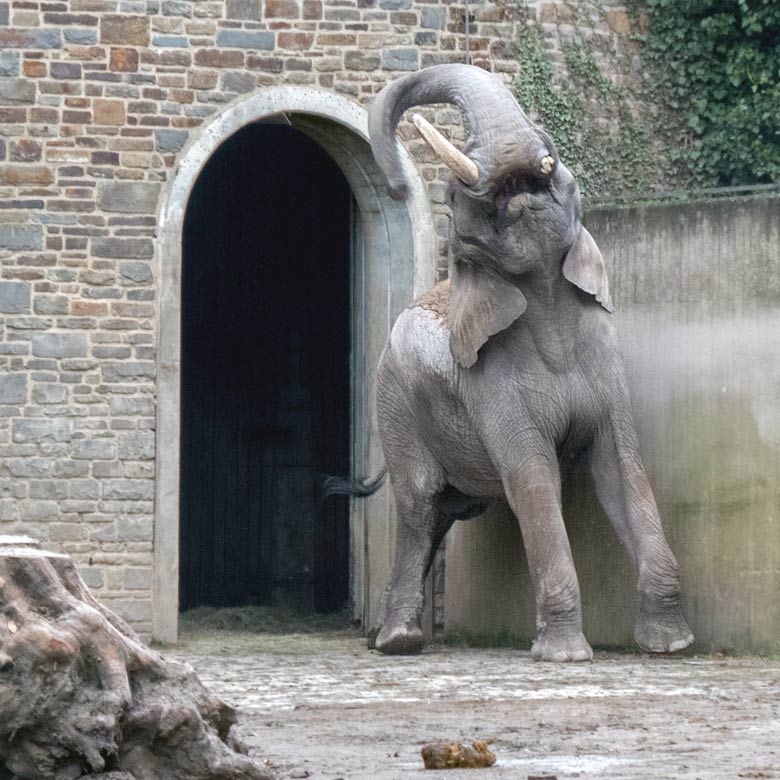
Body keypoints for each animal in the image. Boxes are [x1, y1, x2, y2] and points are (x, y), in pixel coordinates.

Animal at [344, 64, 692, 664]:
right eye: (454, 191)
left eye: (551, 142)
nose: (397, 186)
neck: (547, 296)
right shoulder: (490, 382)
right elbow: (533, 476)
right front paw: (566, 656)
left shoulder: (606, 357)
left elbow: (621, 465)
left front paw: (672, 646)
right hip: (394, 405)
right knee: (419, 504)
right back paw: (398, 643)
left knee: (442, 514)